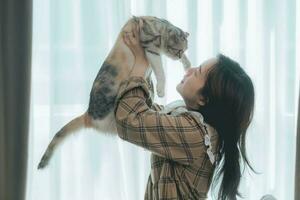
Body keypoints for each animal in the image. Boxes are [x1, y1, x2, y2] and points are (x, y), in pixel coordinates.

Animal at [37, 15, 191, 169]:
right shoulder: (150, 48)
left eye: (183, 51)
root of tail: (88, 115)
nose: (179, 56)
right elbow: (160, 70)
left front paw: (188, 66)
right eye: (178, 51)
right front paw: (162, 89)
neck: (161, 26)